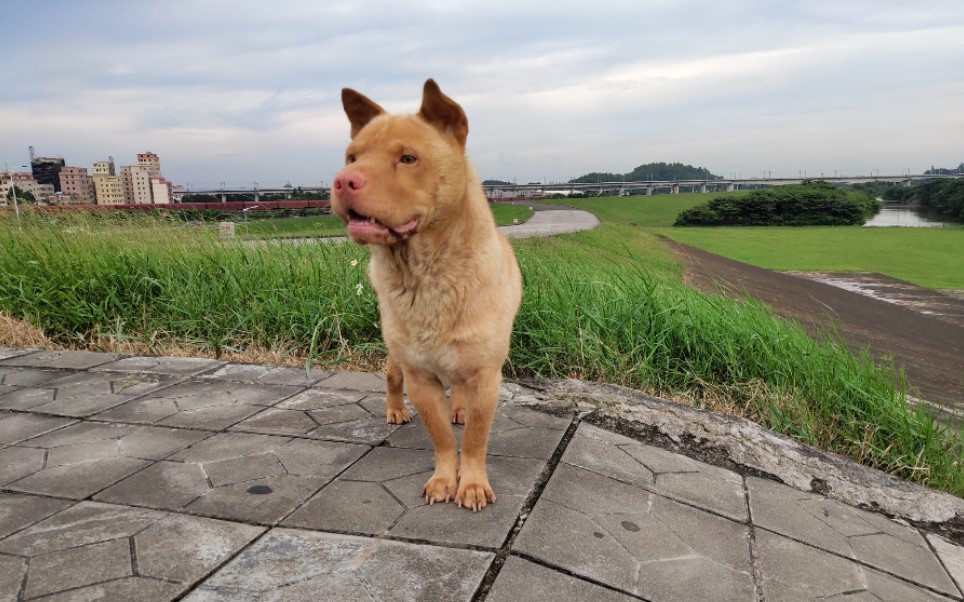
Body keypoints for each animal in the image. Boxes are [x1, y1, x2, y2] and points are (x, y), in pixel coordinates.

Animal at [330, 79, 520, 510]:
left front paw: (472, 483)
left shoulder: (486, 376)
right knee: (390, 377)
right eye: (352, 157)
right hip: (396, 358)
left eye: (408, 158)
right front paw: (445, 479)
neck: (426, 275)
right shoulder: (419, 378)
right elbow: (443, 439)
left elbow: (475, 438)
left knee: (461, 395)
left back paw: (460, 409)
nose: (343, 180)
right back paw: (395, 411)